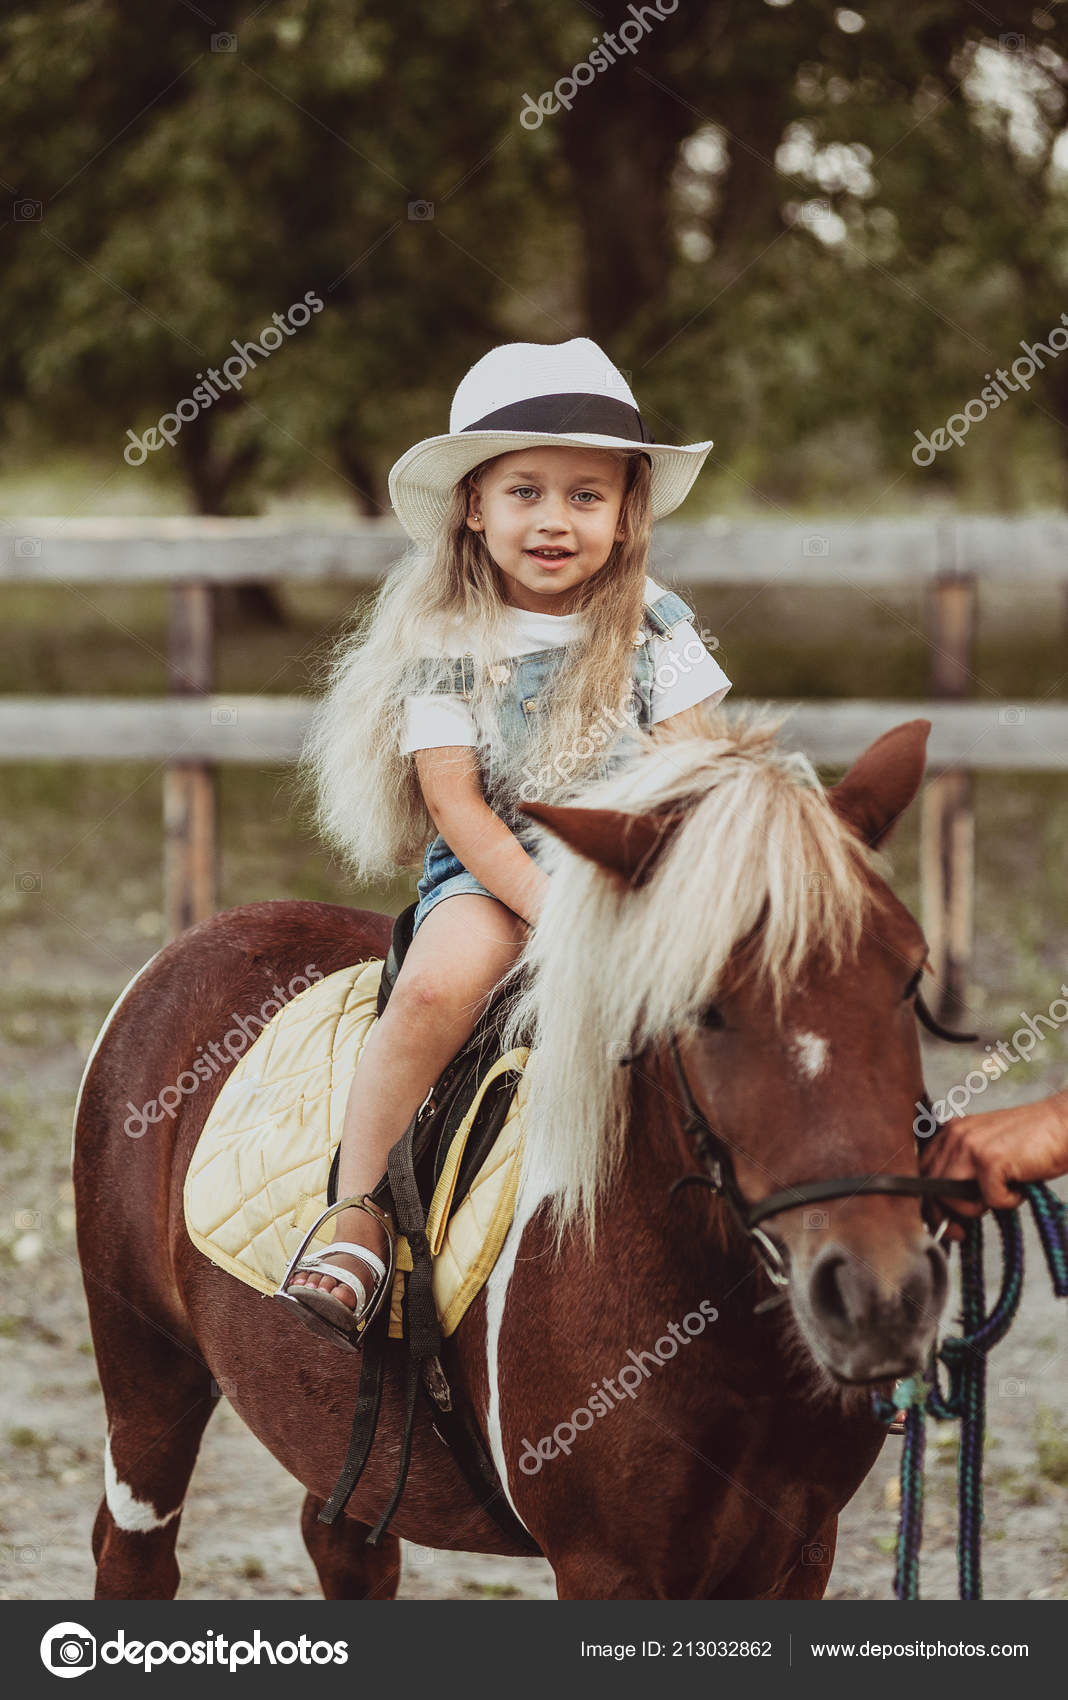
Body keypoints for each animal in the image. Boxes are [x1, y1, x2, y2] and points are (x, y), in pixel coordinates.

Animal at [74, 710, 949, 1600]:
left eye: (912, 977)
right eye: (701, 1007)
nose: (878, 1294)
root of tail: (195, 942)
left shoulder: (803, 1548)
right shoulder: (605, 1566)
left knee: (344, 1547)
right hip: (148, 1373)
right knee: (135, 1555)